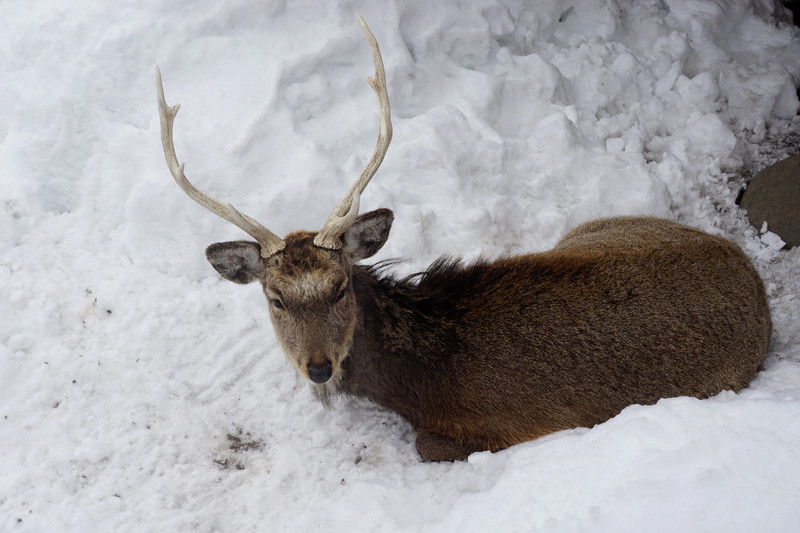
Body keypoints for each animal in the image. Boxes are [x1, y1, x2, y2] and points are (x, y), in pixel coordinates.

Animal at [153, 14, 772, 460]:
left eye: (339, 288)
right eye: (275, 298)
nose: (320, 368)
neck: (421, 379)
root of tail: (752, 276)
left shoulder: (501, 424)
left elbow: (428, 443)